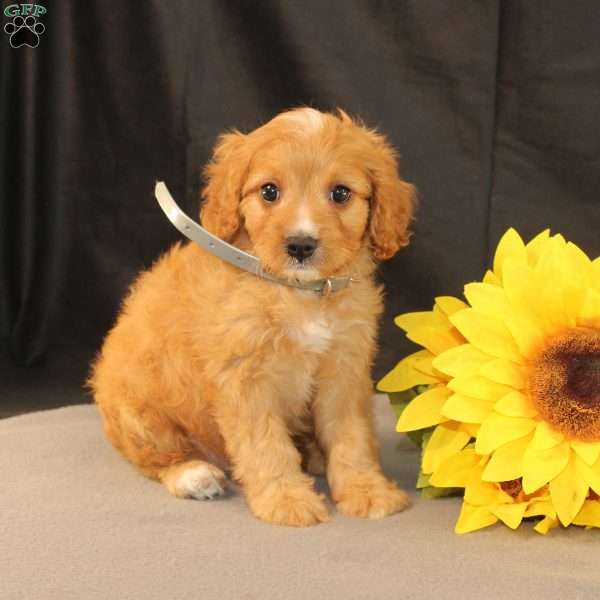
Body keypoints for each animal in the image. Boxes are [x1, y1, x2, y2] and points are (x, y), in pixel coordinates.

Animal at [89, 108, 414, 524]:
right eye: (269, 191)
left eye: (340, 193)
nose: (301, 245)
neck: (299, 293)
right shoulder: (245, 378)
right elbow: (266, 444)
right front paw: (286, 499)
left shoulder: (345, 369)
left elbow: (350, 436)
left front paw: (366, 489)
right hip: (139, 413)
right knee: (155, 458)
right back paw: (193, 474)